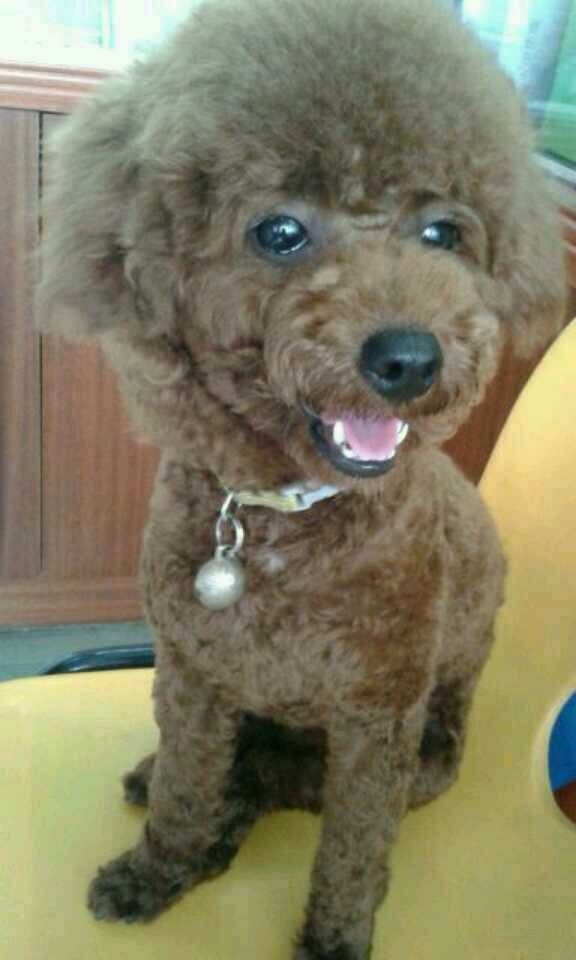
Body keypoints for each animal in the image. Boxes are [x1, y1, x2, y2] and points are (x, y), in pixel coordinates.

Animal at [37, 0, 566, 956]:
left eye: (443, 233)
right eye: (279, 232)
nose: (410, 358)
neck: (280, 517)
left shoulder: (374, 723)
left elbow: (352, 853)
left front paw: (332, 938)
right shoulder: (194, 675)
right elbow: (188, 786)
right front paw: (159, 864)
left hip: (417, 761)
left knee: (273, 785)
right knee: (224, 773)